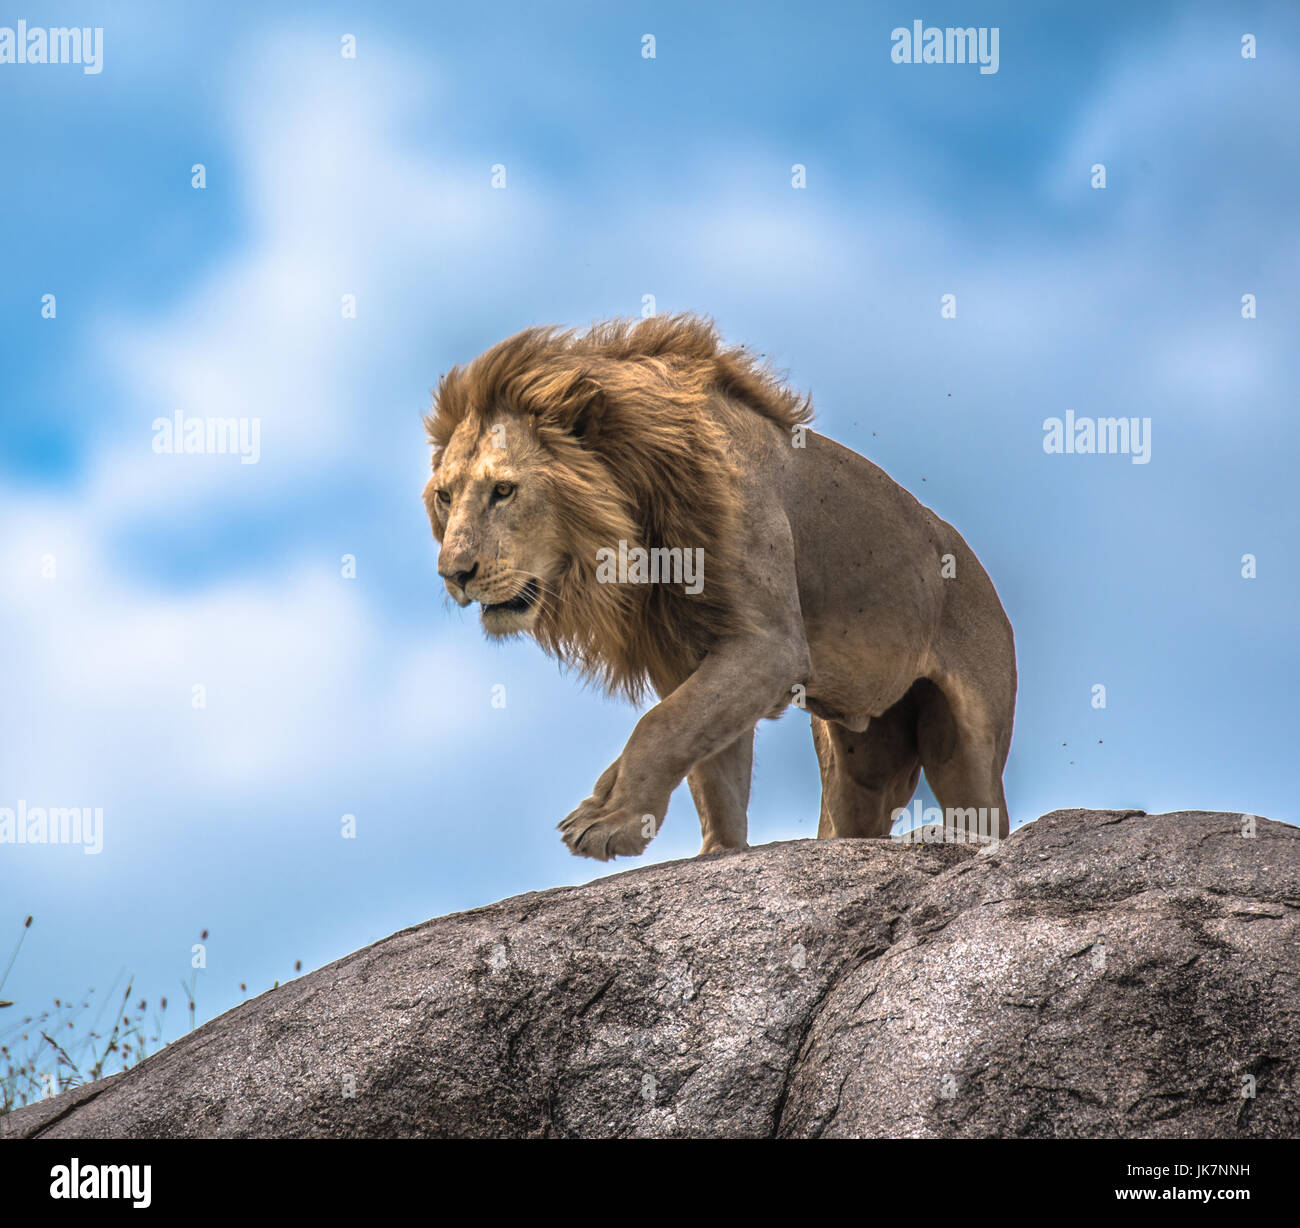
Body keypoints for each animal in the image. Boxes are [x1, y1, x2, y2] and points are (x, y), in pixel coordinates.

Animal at [423, 315, 1016, 860]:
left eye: (504, 491)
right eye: (445, 497)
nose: (454, 574)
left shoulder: (769, 645)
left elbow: (662, 725)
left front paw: (610, 821)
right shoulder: (692, 653)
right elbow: (709, 764)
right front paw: (718, 852)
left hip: (968, 743)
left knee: (984, 812)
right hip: (862, 756)